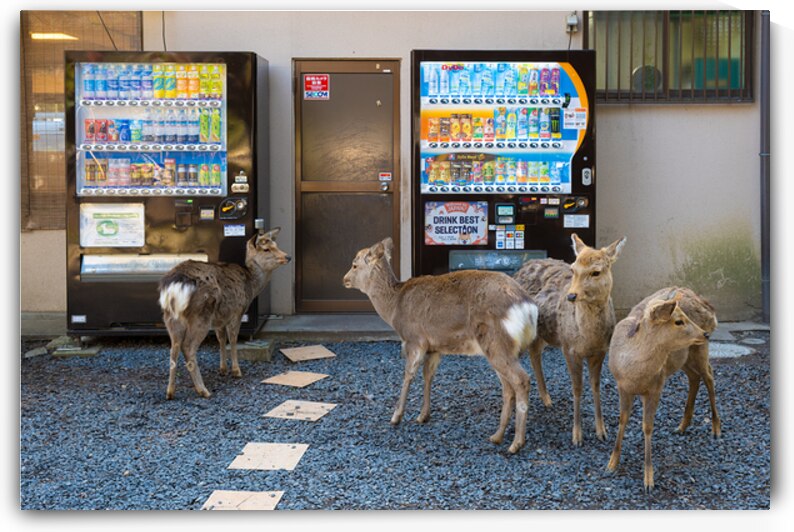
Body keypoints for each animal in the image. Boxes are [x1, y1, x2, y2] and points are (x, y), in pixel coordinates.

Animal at [158, 227, 291, 399]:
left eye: (276, 244)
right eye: (267, 249)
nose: (288, 257)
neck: (251, 287)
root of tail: (174, 286)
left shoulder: (219, 319)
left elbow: (221, 340)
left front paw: (223, 369)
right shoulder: (236, 312)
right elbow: (233, 340)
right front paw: (236, 370)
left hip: (171, 317)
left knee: (174, 348)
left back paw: (170, 392)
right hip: (200, 315)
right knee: (187, 347)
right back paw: (203, 390)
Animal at [343, 237, 538, 454]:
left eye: (354, 265)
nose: (344, 279)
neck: (394, 308)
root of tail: (529, 308)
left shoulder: (415, 339)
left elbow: (408, 375)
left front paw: (396, 417)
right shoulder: (434, 347)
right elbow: (428, 376)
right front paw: (423, 415)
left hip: (497, 342)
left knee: (521, 380)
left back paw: (516, 443)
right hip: (503, 349)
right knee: (508, 387)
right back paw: (496, 436)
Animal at [513, 233, 626, 446]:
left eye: (596, 272)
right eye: (573, 268)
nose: (571, 296)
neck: (588, 338)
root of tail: (522, 268)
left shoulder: (601, 351)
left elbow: (595, 386)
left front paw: (602, 431)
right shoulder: (568, 348)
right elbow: (577, 387)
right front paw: (577, 436)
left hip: (542, 332)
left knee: (535, 353)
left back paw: (546, 399)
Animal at [606, 287, 719, 491]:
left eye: (684, 316)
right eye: (678, 321)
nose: (705, 334)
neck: (635, 374)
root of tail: (709, 309)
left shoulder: (656, 387)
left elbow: (647, 426)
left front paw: (649, 480)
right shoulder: (622, 386)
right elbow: (622, 419)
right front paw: (611, 464)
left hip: (699, 350)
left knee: (709, 375)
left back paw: (716, 428)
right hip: (684, 357)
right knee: (695, 377)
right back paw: (681, 427)